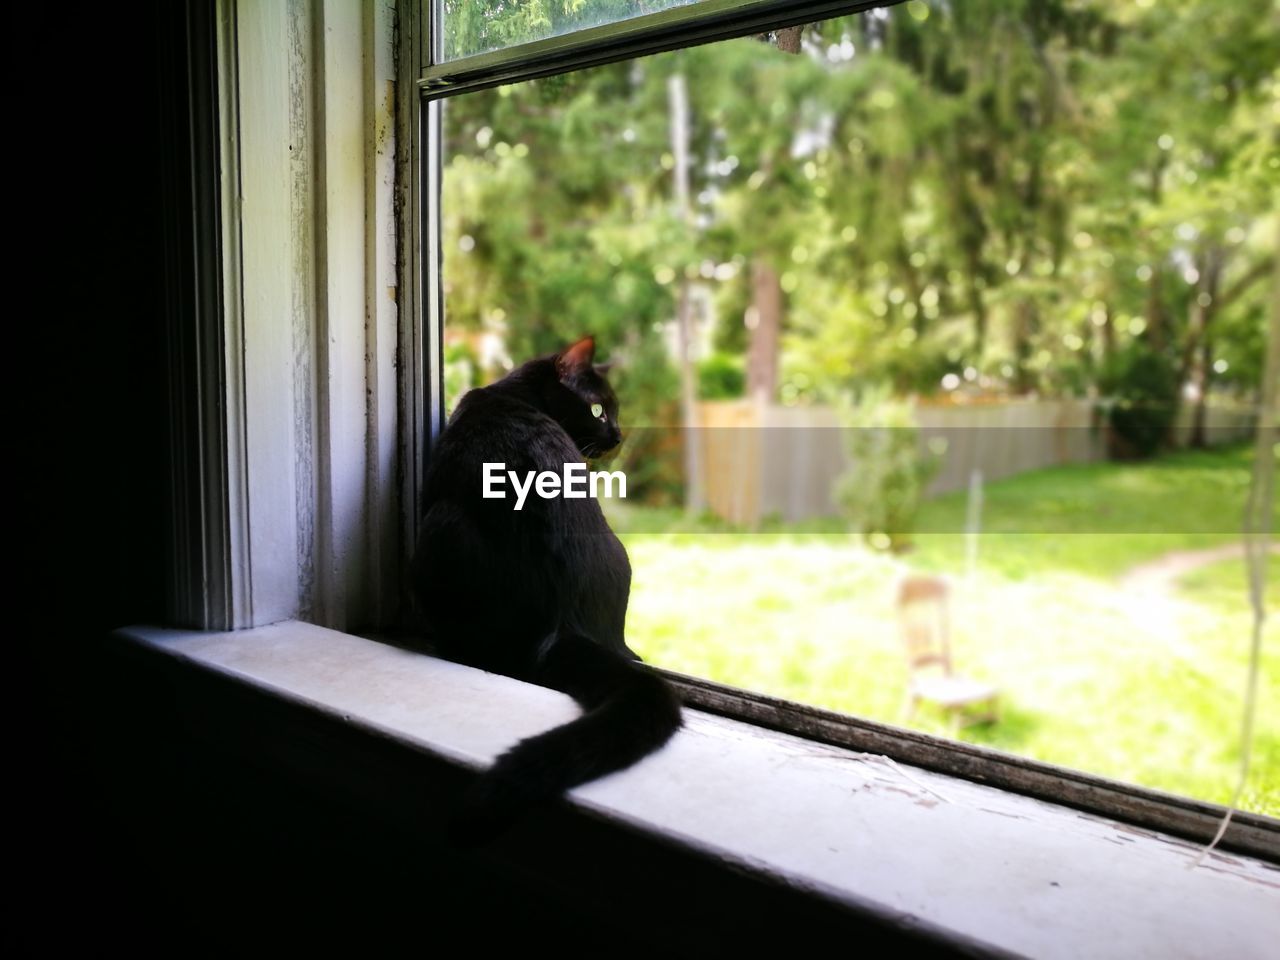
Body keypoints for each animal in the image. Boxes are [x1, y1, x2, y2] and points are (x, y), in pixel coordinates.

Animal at [414, 335, 686, 839]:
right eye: (600, 409)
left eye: (613, 411)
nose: (619, 435)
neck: (513, 392)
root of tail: (562, 626)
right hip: (621, 556)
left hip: (441, 526)